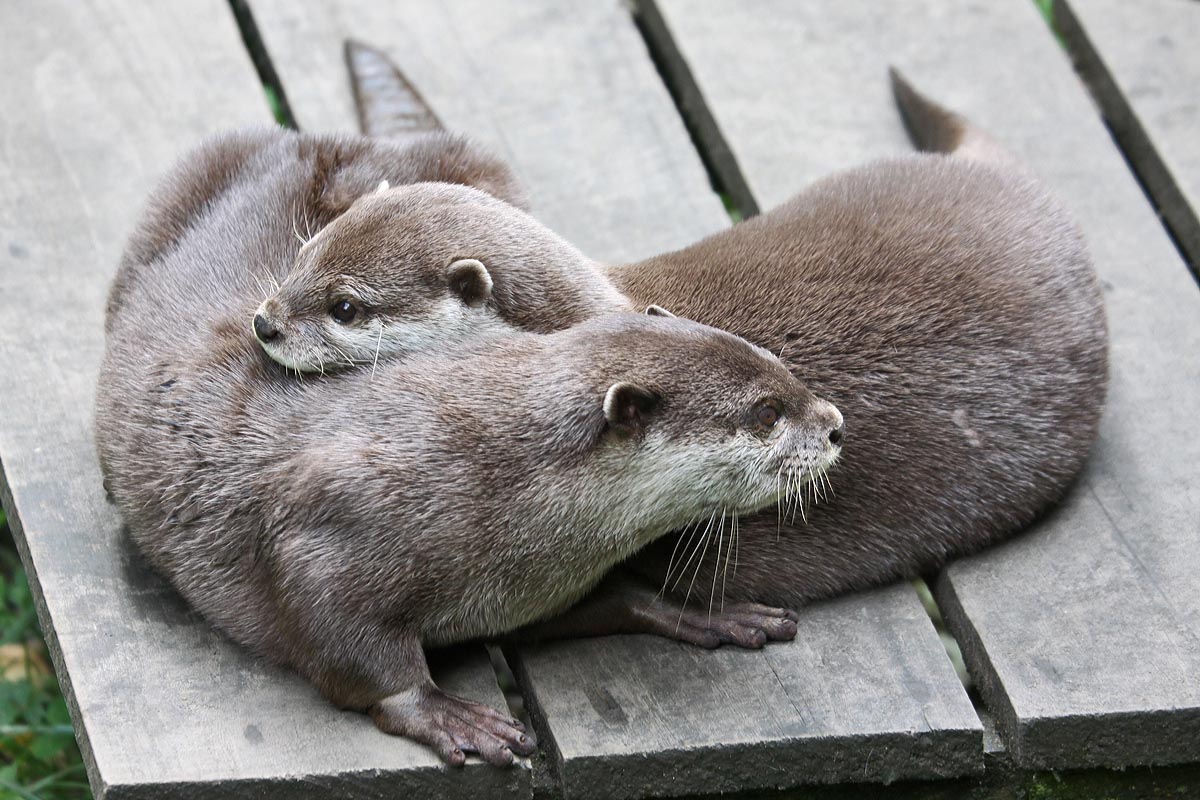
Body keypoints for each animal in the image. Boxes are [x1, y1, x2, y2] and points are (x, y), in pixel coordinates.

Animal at [96, 126, 844, 764]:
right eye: (766, 413)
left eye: (777, 371)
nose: (835, 423)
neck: (495, 478)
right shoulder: (336, 525)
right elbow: (344, 642)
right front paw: (441, 710)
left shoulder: (537, 587)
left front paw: (699, 610)